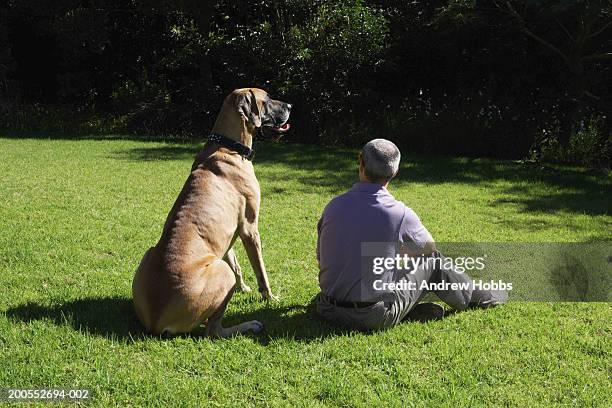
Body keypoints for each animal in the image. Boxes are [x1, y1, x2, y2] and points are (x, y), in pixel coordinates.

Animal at [131, 87, 292, 336]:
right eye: (266, 100)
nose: (290, 106)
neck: (229, 146)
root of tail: (158, 321)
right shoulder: (250, 229)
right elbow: (261, 272)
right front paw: (270, 297)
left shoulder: (229, 235)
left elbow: (236, 264)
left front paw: (243, 287)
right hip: (221, 272)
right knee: (213, 331)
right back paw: (249, 325)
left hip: (150, 254)